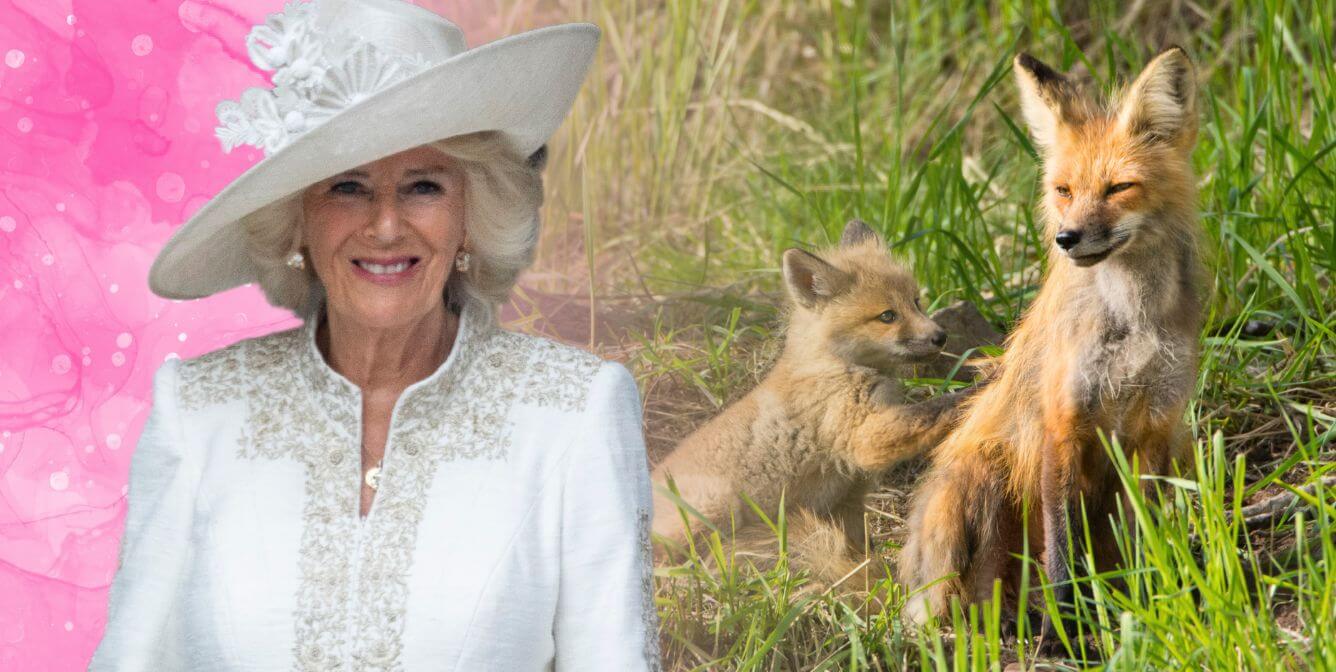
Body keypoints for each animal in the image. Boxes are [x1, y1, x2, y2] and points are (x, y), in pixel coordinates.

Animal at [651, 219, 968, 585]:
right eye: (887, 316)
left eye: (916, 302)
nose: (940, 336)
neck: (833, 363)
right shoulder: (863, 436)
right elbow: (933, 410)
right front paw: (981, 386)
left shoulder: (848, 497)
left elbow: (859, 552)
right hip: (716, 506)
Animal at [897, 47, 1205, 640]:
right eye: (1064, 191)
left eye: (1118, 188)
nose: (1067, 238)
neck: (1132, 326)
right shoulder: (1064, 420)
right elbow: (1061, 547)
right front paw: (1067, 623)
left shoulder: (1157, 426)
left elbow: (1140, 536)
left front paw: (1141, 600)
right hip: (983, 474)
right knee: (972, 595)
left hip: (1181, 448)